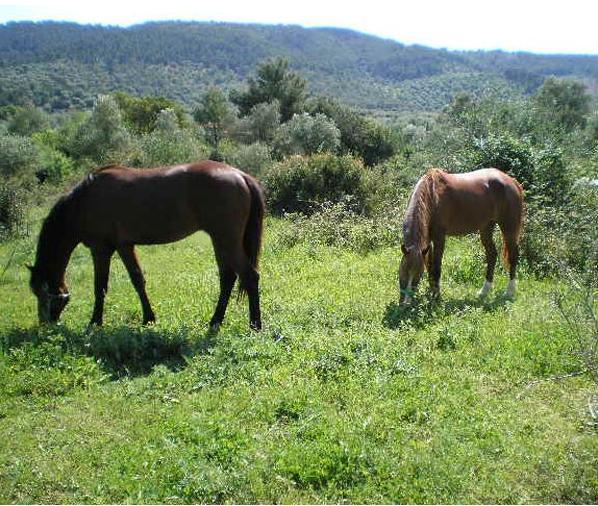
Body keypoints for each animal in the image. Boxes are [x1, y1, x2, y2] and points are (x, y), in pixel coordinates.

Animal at [27, 160, 268, 330]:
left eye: (40, 294)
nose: (45, 324)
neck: (84, 202)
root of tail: (241, 175)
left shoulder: (101, 248)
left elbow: (101, 286)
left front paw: (95, 322)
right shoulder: (124, 246)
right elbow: (137, 280)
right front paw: (149, 318)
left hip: (227, 240)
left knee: (249, 276)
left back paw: (255, 324)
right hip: (221, 241)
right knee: (228, 278)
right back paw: (215, 321)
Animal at [404, 168, 524, 302]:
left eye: (417, 274)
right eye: (403, 271)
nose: (406, 302)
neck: (432, 195)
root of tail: (512, 182)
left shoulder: (439, 237)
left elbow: (436, 266)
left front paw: (436, 296)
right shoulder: (428, 240)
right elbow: (429, 266)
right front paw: (431, 293)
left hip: (509, 228)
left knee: (513, 256)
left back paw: (510, 291)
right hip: (486, 228)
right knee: (492, 255)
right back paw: (484, 291)